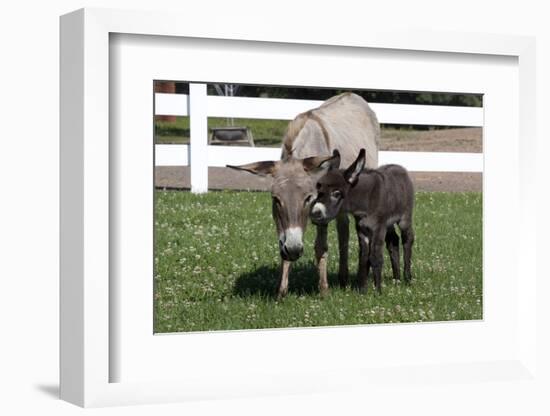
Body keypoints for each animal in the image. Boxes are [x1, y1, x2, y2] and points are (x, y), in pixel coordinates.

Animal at [312, 150, 416, 292]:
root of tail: (399, 167)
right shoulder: (362, 228)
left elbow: (375, 257)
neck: (365, 201)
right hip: (389, 224)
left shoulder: (378, 228)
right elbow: (364, 257)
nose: (315, 214)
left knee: (407, 239)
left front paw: (378, 291)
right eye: (319, 191)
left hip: (404, 218)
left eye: (336, 193)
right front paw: (362, 289)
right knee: (393, 241)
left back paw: (407, 278)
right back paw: (397, 279)